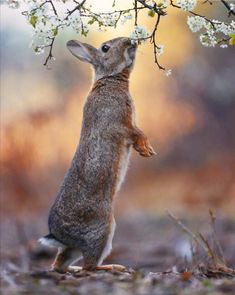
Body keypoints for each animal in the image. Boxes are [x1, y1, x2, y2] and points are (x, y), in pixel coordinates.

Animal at [38, 37, 156, 276]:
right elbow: (136, 133)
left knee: (60, 264)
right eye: (105, 48)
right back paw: (113, 267)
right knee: (89, 265)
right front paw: (146, 150)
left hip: (76, 247)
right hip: (104, 228)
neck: (111, 79)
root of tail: (60, 236)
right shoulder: (121, 124)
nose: (131, 41)